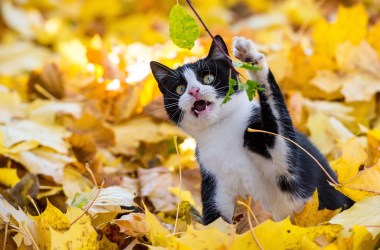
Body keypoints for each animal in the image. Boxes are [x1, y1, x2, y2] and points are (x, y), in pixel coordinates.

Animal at [149, 35, 354, 225]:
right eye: (180, 88)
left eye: (208, 78)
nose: (193, 91)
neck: (219, 131)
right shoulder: (214, 184)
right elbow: (217, 228)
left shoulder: (284, 161)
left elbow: (276, 116)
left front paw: (250, 57)